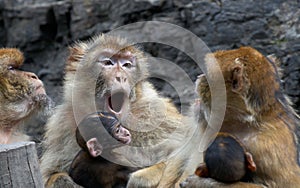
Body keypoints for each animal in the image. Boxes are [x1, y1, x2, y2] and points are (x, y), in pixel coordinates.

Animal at [40, 34, 197, 187]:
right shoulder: (63, 124)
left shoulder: (155, 114)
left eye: (127, 65)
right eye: (108, 62)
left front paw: (143, 177)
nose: (121, 77)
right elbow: (53, 174)